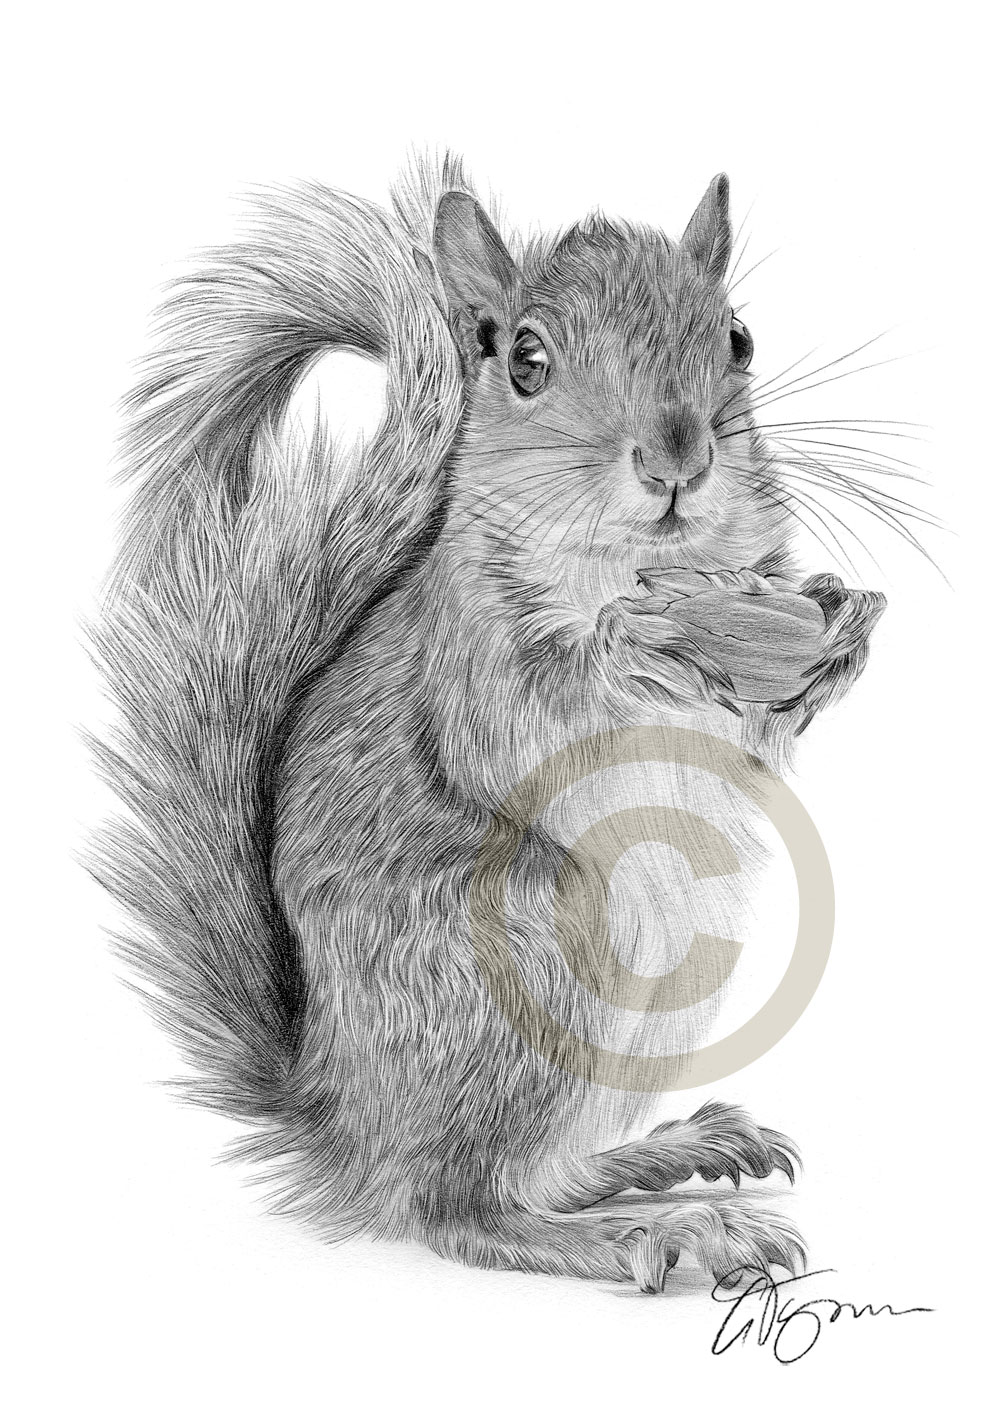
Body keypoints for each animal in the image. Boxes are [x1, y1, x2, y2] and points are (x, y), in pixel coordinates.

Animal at [93, 154, 886, 1293]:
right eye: (526, 360)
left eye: (737, 338)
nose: (676, 459)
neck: (634, 569)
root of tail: (340, 1113)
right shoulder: (468, 657)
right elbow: (531, 718)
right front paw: (625, 648)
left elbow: (763, 728)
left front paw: (842, 626)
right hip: (520, 963)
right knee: (458, 1208)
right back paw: (654, 1233)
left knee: (535, 1174)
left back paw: (666, 1155)